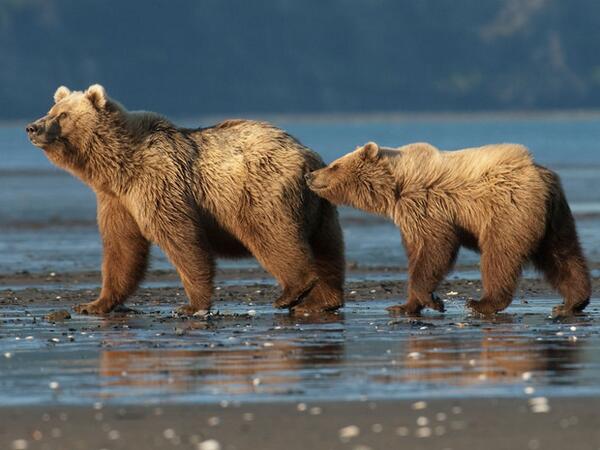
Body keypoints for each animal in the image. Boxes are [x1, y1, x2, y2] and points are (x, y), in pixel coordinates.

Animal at [27, 85, 346, 316]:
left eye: (63, 115)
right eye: (50, 110)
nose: (32, 127)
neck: (117, 167)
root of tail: (308, 157)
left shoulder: (158, 182)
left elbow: (181, 239)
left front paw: (191, 305)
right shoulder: (116, 200)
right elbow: (121, 248)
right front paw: (94, 303)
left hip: (261, 191)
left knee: (272, 235)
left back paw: (292, 292)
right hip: (320, 208)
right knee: (328, 250)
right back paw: (322, 300)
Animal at [308, 142, 588, 318]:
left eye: (334, 165)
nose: (310, 175)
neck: (396, 188)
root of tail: (541, 175)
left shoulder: (427, 205)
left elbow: (436, 249)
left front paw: (432, 300)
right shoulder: (410, 218)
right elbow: (418, 254)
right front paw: (404, 305)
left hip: (509, 210)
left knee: (500, 256)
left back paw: (482, 303)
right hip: (554, 218)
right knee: (563, 255)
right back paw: (572, 302)